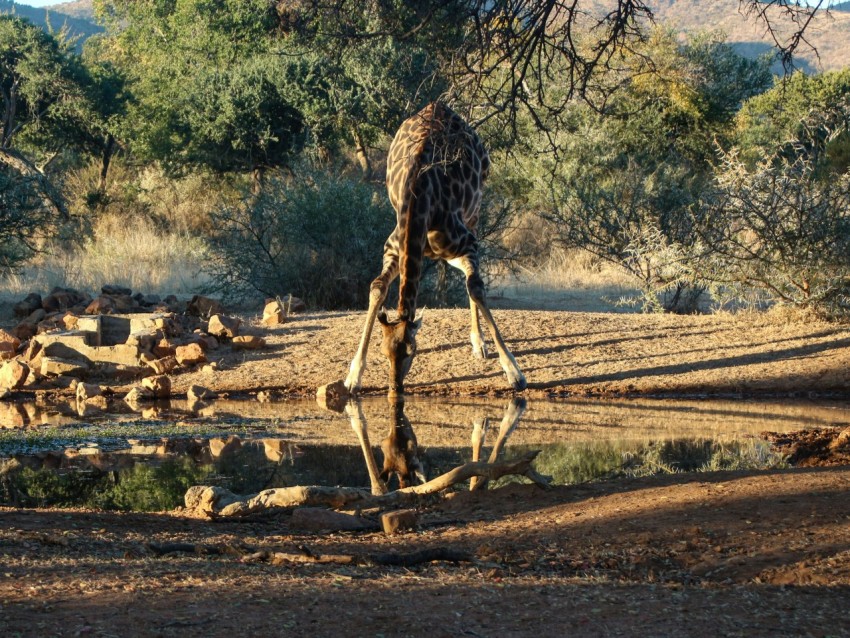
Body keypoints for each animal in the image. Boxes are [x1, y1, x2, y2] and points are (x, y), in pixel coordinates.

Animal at [344, 102, 526, 395]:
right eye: (383, 352)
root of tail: (438, 106)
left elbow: (475, 287)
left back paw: (479, 344)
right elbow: (377, 287)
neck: (419, 202)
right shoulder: (393, 248)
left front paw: (514, 371)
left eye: (411, 351)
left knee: (471, 278)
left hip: (475, 210)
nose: (395, 388)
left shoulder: (467, 242)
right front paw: (353, 375)